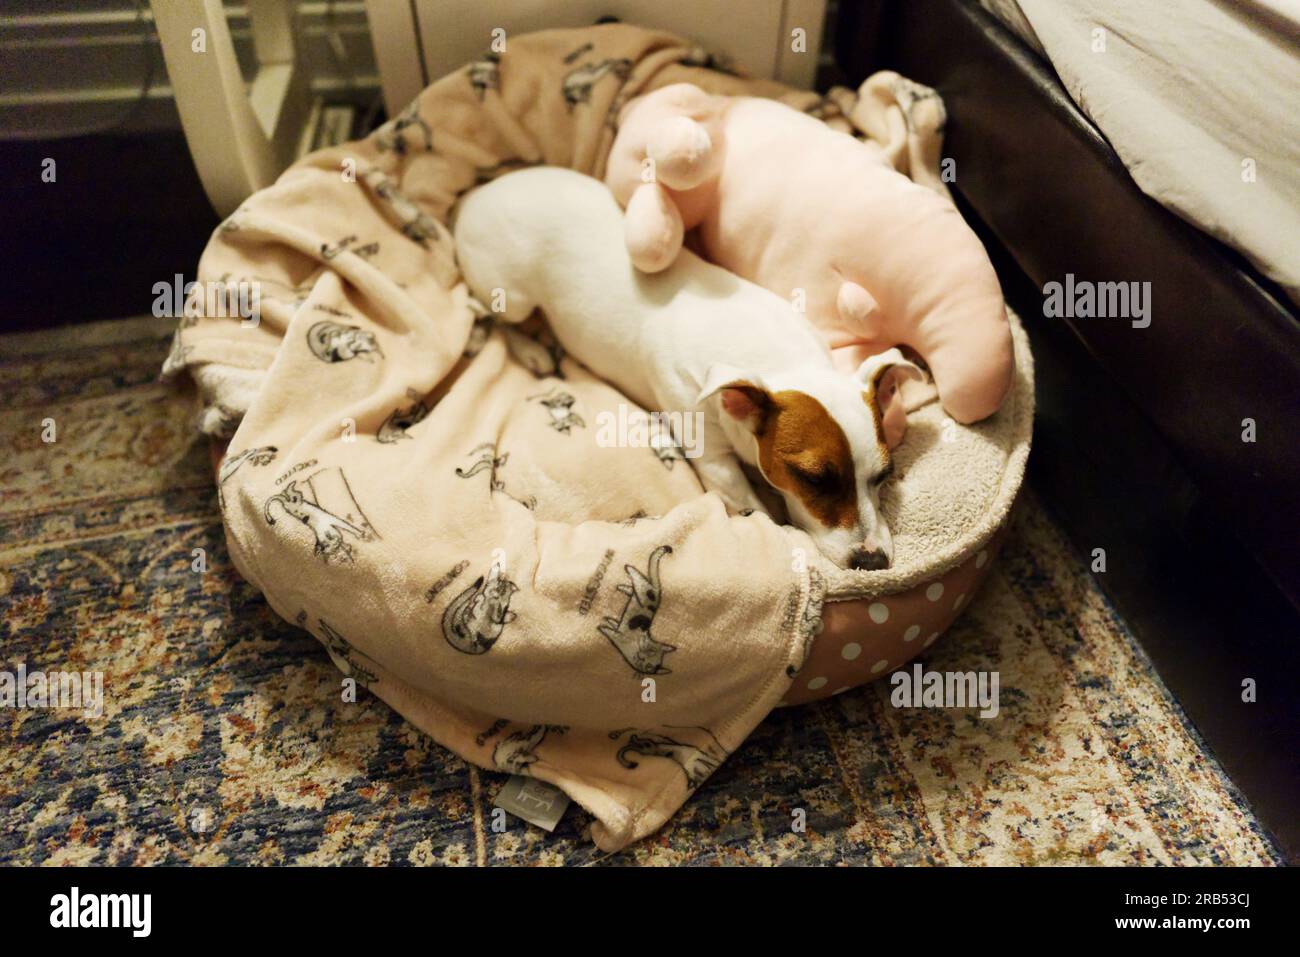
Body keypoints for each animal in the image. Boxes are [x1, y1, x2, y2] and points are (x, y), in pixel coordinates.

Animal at [452, 167, 920, 566]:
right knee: (486, 312)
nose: (873, 561)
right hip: (512, 294)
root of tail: (475, 196)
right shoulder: (713, 459)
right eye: (814, 479)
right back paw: (529, 349)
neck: (778, 358)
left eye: (885, 474)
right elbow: (756, 510)